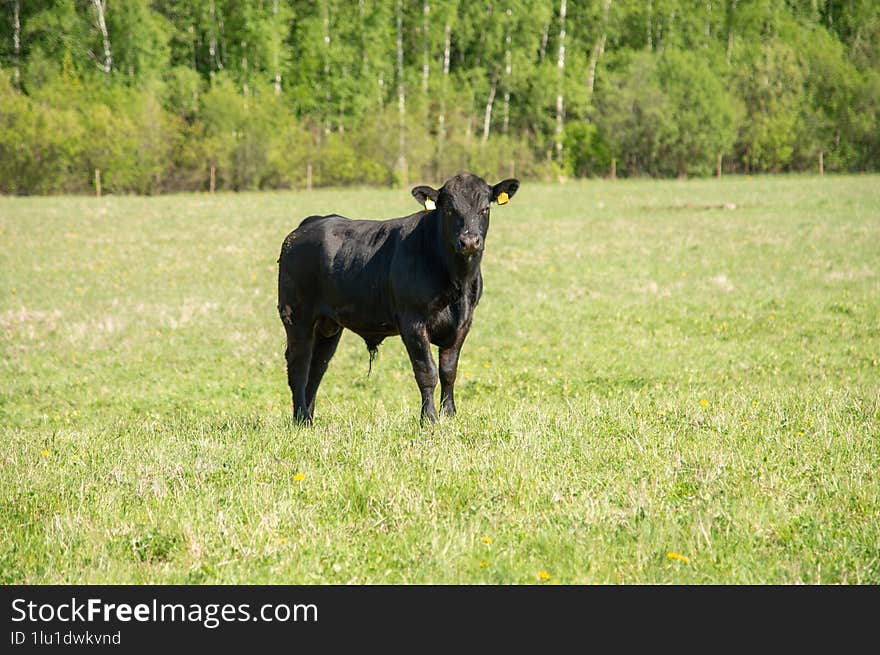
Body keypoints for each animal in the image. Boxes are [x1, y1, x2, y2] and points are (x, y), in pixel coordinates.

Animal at [278, 172, 520, 422]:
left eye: (485, 209)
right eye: (449, 209)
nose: (470, 241)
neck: (456, 283)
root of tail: (311, 223)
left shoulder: (463, 323)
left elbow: (448, 371)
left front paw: (450, 413)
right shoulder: (412, 321)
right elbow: (427, 371)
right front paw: (429, 418)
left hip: (329, 325)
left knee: (317, 366)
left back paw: (308, 418)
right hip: (297, 317)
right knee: (299, 365)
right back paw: (300, 417)